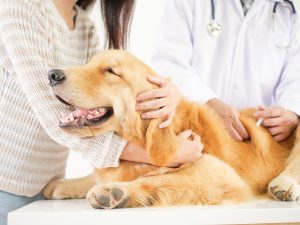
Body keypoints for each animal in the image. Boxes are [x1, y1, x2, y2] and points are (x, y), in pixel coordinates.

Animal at [42, 50, 300, 208]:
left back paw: (285, 184)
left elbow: (157, 179)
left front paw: (117, 190)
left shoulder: (221, 173)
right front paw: (64, 184)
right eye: (89, 63)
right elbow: (96, 176)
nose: (52, 74)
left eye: (111, 71)